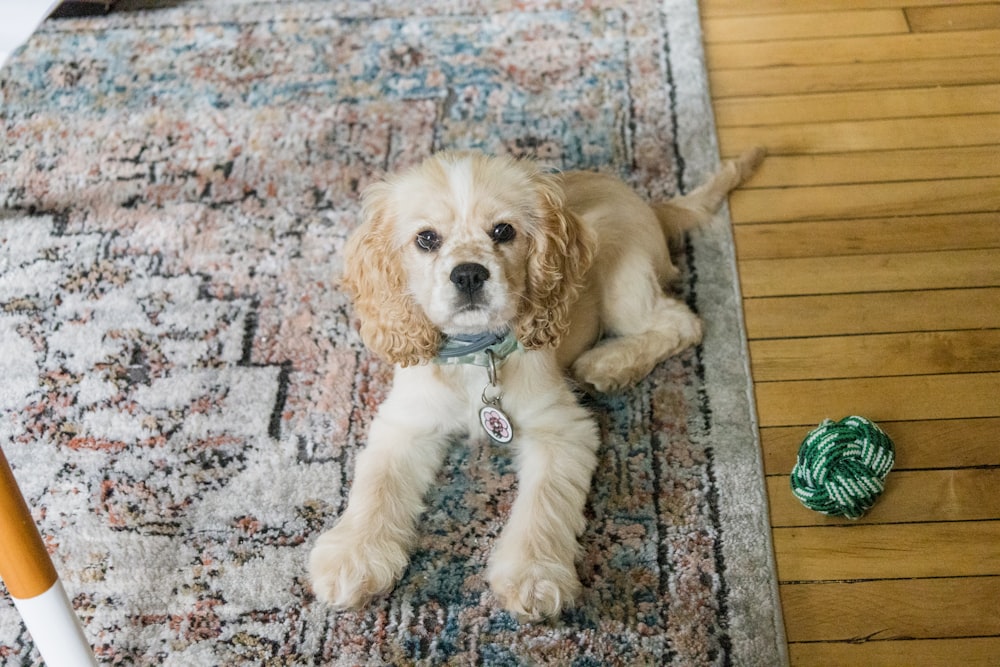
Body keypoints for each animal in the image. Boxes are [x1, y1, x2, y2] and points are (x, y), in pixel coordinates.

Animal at [312, 145, 764, 620]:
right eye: (426, 239)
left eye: (503, 230)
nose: (469, 274)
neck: (477, 354)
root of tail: (651, 206)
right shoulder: (405, 421)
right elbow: (376, 484)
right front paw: (352, 559)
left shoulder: (562, 429)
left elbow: (543, 503)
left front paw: (532, 578)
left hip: (624, 285)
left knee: (682, 322)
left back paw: (607, 363)